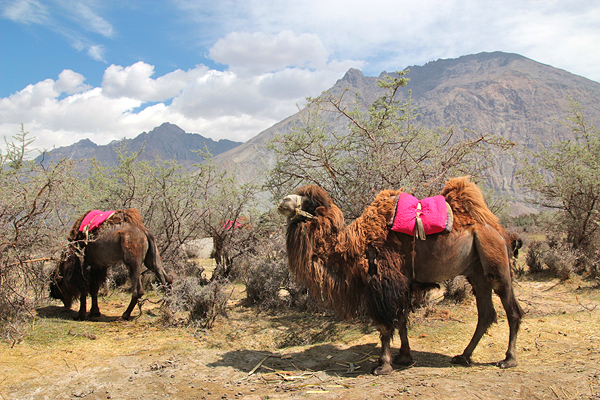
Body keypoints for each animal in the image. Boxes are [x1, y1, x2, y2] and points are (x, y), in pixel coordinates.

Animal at [278, 177, 524, 374]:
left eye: (309, 201)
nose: (283, 201)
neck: (353, 246)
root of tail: (503, 232)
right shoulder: (402, 282)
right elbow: (402, 319)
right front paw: (404, 357)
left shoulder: (383, 281)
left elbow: (385, 325)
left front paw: (383, 365)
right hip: (477, 273)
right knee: (486, 313)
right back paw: (463, 356)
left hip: (496, 263)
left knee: (512, 310)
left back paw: (508, 359)